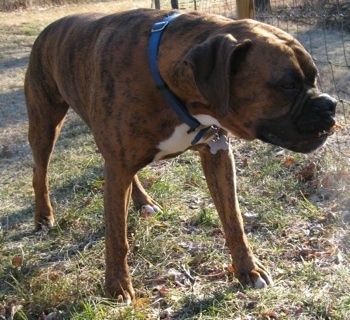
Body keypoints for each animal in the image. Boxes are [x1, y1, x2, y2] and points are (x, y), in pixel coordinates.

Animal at [24, 8, 336, 302]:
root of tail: (49, 29)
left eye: (315, 79)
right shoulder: (119, 165)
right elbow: (116, 236)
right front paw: (117, 287)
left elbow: (233, 219)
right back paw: (43, 217)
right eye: (287, 86)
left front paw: (248, 270)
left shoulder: (217, 155)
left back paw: (143, 201)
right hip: (45, 124)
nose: (330, 104)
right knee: (40, 172)